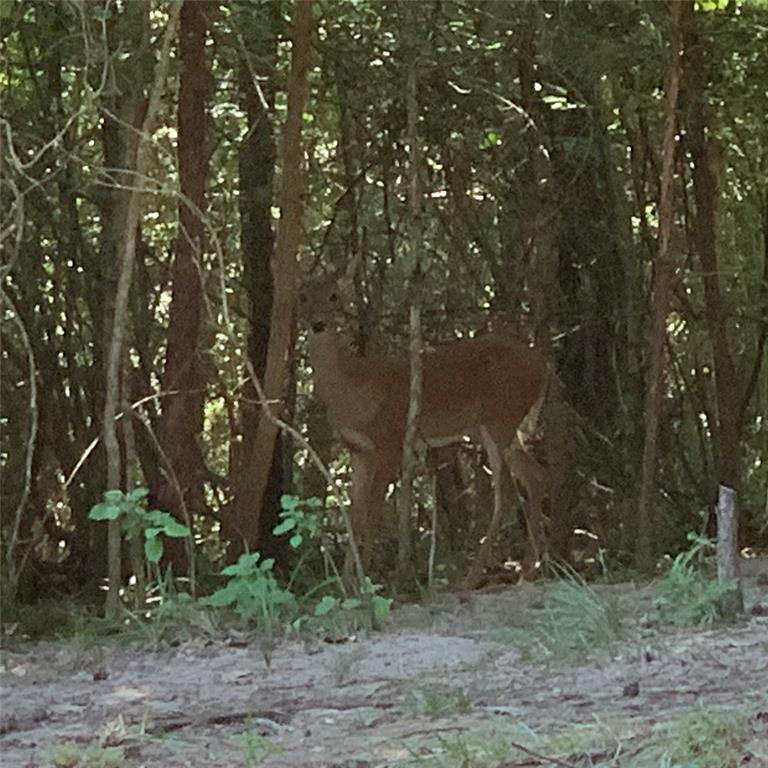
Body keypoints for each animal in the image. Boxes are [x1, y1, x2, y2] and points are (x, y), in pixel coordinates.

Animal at [300, 278, 552, 588]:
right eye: (303, 297)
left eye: (334, 296)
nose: (318, 323)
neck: (352, 389)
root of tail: (543, 366)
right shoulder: (358, 450)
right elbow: (354, 512)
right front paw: (345, 582)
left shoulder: (391, 440)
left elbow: (373, 511)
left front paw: (367, 582)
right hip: (495, 427)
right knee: (535, 476)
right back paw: (531, 569)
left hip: (500, 418)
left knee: (505, 493)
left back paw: (471, 578)